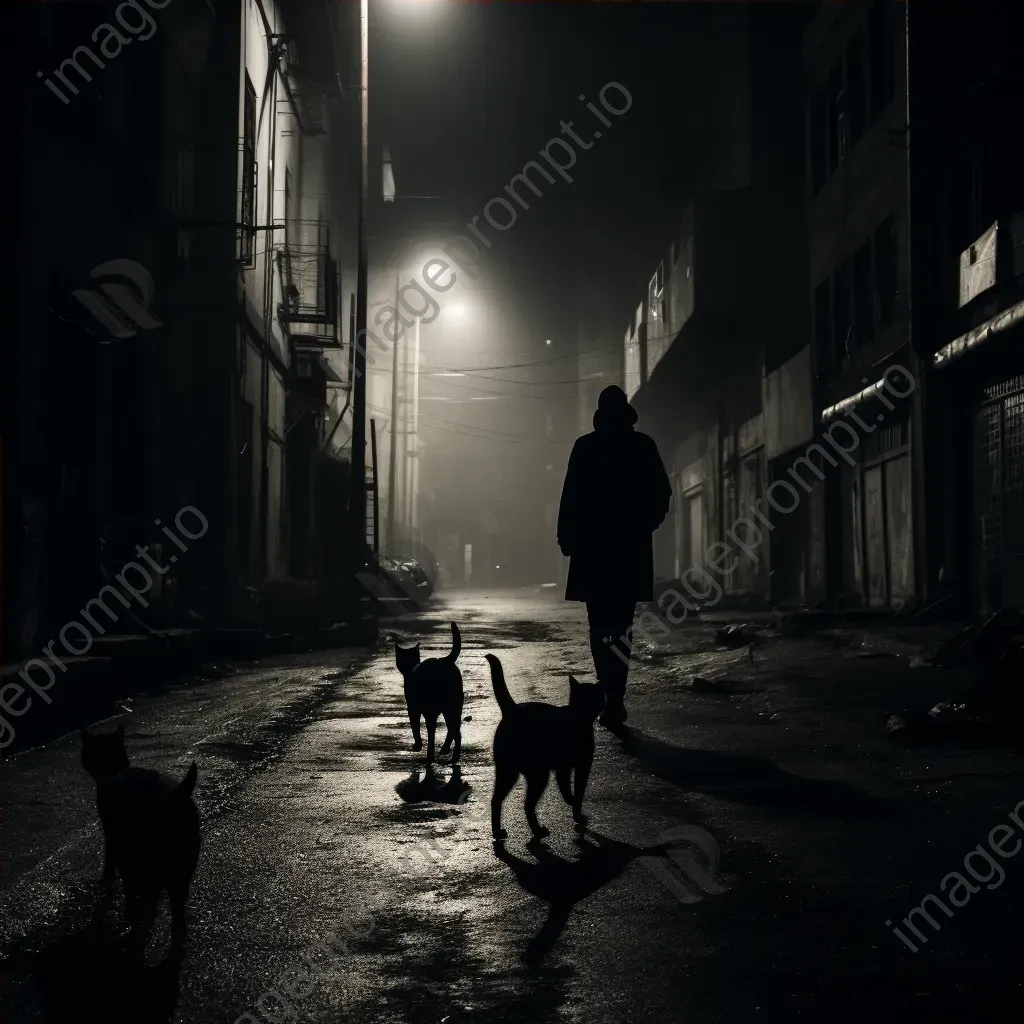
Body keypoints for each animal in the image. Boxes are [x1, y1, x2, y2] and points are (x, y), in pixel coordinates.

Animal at [81, 724, 201, 954]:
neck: (113, 772)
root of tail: (175, 795)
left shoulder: (111, 836)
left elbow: (111, 863)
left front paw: (108, 880)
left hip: (144, 857)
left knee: (145, 893)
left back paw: (136, 923)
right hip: (182, 864)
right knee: (176, 904)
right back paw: (175, 936)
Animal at [395, 618, 464, 765]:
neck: (411, 668)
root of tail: (443, 660)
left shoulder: (414, 709)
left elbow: (417, 728)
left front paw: (420, 748)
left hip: (438, 707)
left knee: (452, 730)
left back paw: (445, 757)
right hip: (453, 706)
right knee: (455, 729)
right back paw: (448, 752)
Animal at [483, 651, 602, 843]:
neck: (578, 715)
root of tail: (512, 709)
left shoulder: (566, 767)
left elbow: (567, 789)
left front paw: (573, 806)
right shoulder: (579, 766)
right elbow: (577, 790)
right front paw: (577, 811)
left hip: (508, 772)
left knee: (498, 801)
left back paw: (500, 832)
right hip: (537, 774)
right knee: (527, 805)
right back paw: (537, 831)